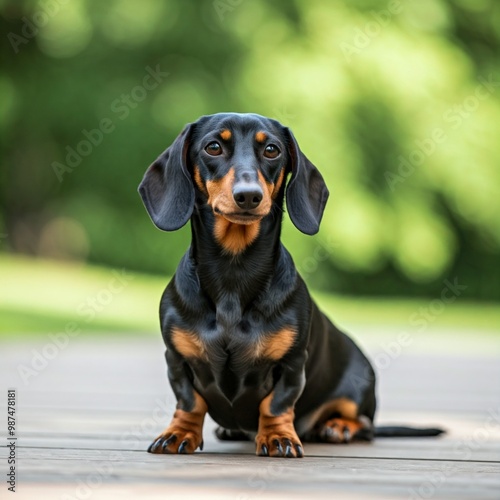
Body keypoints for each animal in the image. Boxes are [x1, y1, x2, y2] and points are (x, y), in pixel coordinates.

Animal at [139, 112, 444, 458]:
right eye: (213, 147)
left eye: (272, 150)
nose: (249, 195)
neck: (234, 272)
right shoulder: (177, 360)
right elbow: (189, 401)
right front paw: (179, 433)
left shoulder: (292, 363)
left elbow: (276, 404)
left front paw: (277, 437)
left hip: (357, 389)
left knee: (364, 423)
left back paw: (337, 427)